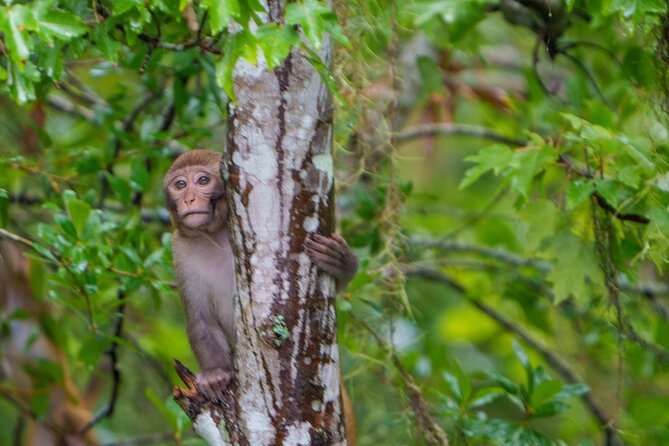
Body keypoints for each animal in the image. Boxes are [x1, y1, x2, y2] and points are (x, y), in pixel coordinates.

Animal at [164, 151, 358, 440]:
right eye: (179, 185)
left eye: (202, 180)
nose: (188, 199)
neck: (215, 234)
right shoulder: (181, 250)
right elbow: (201, 319)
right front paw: (215, 373)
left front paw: (342, 262)